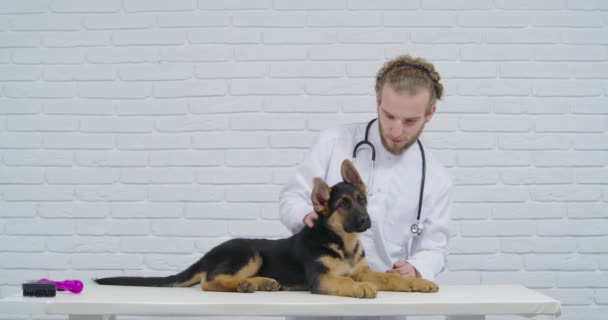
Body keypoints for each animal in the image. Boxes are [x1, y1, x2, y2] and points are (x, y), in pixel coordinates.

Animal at [94, 160, 436, 298]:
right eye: (343, 205)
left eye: (363, 201)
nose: (366, 221)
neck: (342, 241)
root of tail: (206, 255)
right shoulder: (321, 278)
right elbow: (345, 282)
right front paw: (359, 289)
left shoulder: (361, 268)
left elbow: (390, 277)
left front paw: (418, 283)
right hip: (248, 251)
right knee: (210, 281)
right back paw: (250, 284)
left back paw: (260, 284)